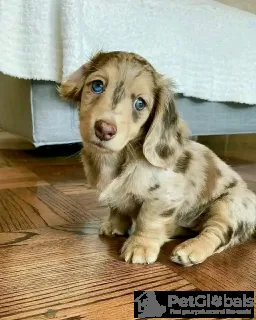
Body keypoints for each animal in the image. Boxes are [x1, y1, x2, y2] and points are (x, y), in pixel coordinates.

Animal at [59, 52, 256, 268]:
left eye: (140, 103)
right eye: (97, 86)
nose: (104, 129)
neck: (120, 157)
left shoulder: (164, 196)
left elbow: (149, 219)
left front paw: (140, 246)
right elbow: (117, 208)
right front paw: (114, 225)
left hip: (229, 205)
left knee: (216, 233)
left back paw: (191, 249)